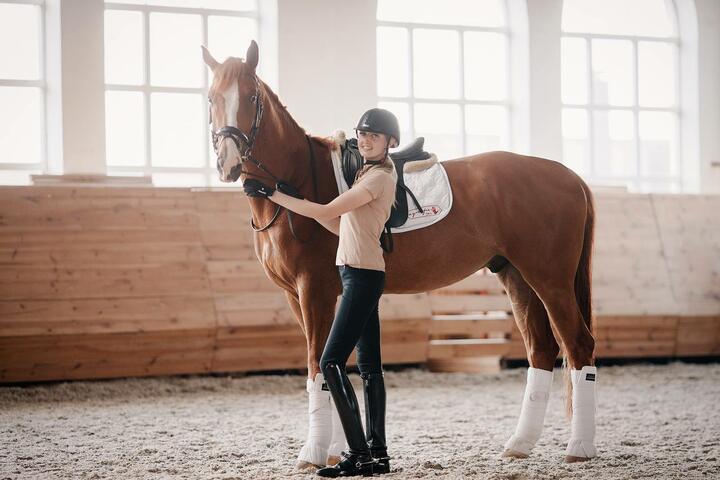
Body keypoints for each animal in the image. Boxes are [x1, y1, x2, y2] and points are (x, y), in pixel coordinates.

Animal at [201, 42, 596, 468]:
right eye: (211, 98)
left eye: (250, 97)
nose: (228, 162)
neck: (300, 183)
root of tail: (570, 176)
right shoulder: (299, 296)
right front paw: (337, 451)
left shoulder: (314, 291)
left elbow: (317, 367)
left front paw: (314, 452)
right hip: (516, 276)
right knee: (541, 350)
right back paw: (520, 444)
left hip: (550, 279)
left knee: (578, 345)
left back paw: (579, 447)